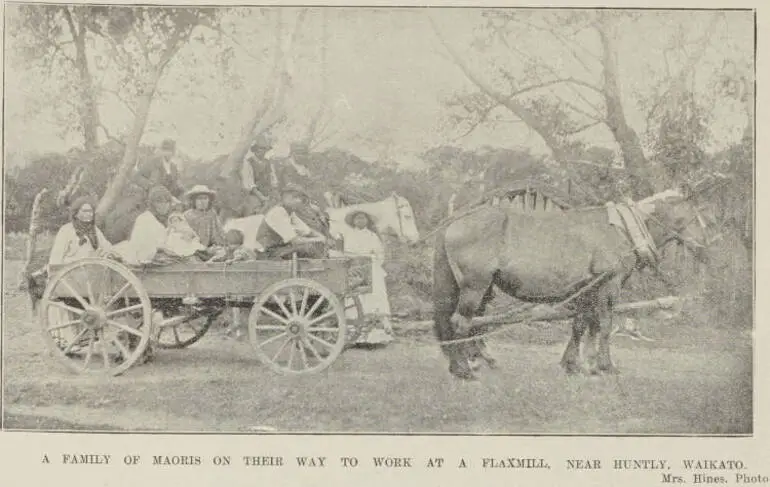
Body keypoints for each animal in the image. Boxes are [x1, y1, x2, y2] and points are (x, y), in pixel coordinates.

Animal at [432, 187, 708, 382]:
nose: (705, 245)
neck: (622, 230)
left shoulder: (587, 290)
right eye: (695, 216)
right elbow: (604, 325)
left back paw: (474, 362)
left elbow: (581, 325)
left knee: (470, 323)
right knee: (460, 323)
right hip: (475, 287)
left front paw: (575, 364)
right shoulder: (608, 286)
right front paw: (604, 366)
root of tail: (455, 221)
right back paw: (463, 370)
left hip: (482, 288)